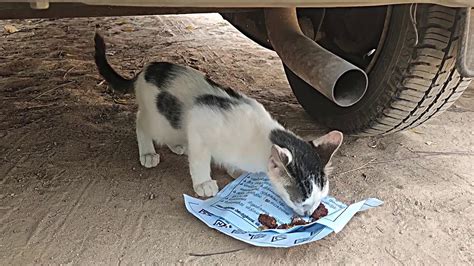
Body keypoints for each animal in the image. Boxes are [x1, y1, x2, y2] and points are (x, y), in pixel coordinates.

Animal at [93, 33, 344, 216]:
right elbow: (200, 160)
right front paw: (204, 182)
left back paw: (178, 146)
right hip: (159, 121)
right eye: (302, 201)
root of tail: (145, 70)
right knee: (141, 122)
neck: (261, 138)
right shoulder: (199, 123)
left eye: (320, 199)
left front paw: (234, 170)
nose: (309, 215)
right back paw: (147, 153)